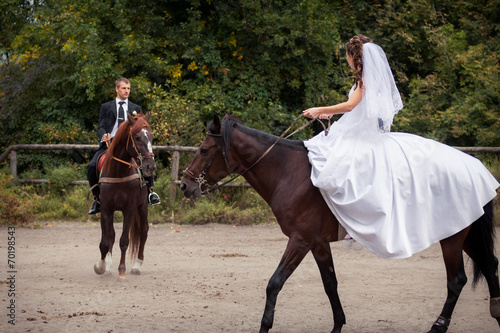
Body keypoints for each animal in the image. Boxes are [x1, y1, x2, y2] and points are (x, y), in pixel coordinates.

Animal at [93, 112, 155, 280]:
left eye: (151, 136)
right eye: (137, 137)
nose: (150, 166)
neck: (118, 171)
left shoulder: (129, 209)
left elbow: (124, 241)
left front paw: (121, 271)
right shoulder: (106, 209)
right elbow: (105, 241)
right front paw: (101, 266)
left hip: (143, 206)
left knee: (143, 231)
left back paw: (137, 266)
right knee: (111, 235)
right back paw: (108, 266)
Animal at [182, 115, 500, 332]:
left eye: (204, 150)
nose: (185, 185)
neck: (289, 172)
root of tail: (474, 166)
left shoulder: (299, 240)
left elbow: (274, 284)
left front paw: (265, 325)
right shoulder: (317, 242)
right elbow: (330, 283)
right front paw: (337, 325)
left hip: (452, 238)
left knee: (456, 280)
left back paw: (439, 325)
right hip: (463, 232)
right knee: (490, 264)